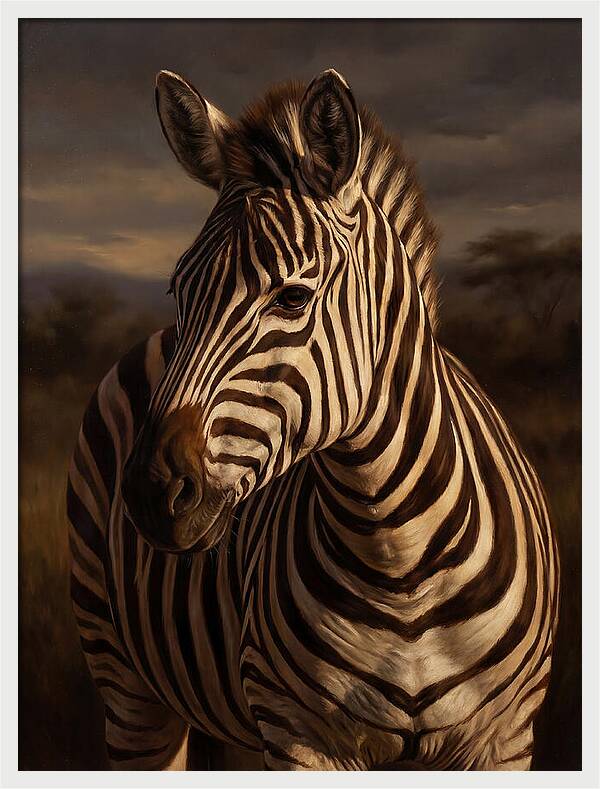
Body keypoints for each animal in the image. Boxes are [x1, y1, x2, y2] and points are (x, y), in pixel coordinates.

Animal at [67, 68, 559, 771]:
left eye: (294, 297)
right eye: (178, 290)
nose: (151, 492)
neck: (399, 560)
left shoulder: (505, 737)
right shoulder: (300, 732)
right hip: (125, 679)